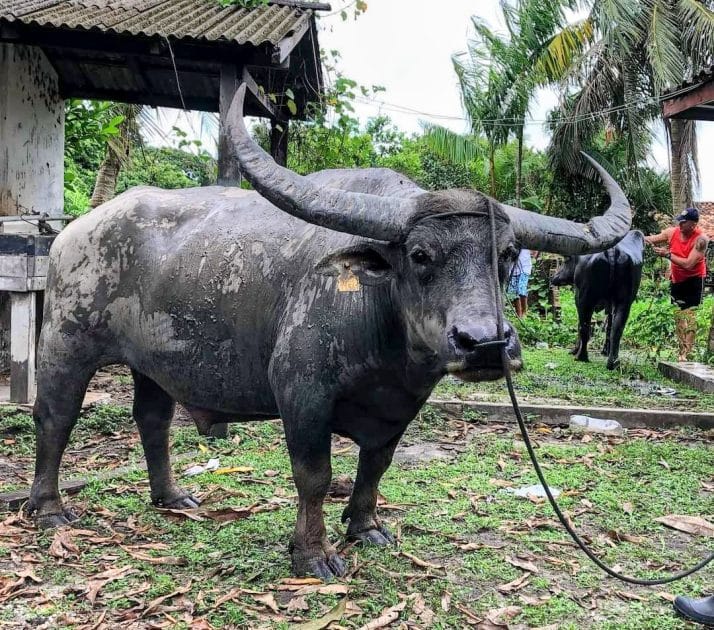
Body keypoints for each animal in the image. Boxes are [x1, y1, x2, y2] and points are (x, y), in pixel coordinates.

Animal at [28, 84, 631, 578]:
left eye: (505, 256)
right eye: (419, 254)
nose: (484, 343)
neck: (384, 334)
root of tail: (72, 233)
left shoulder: (401, 407)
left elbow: (376, 467)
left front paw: (364, 528)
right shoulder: (302, 394)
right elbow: (314, 475)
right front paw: (312, 553)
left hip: (150, 365)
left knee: (153, 420)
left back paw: (172, 496)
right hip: (64, 345)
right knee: (56, 418)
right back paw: (50, 508)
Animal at [551, 230, 644, 370]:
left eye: (565, 261)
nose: (553, 278)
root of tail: (613, 249)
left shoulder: (579, 297)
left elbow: (580, 325)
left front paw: (574, 350)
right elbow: (609, 326)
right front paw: (605, 351)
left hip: (585, 299)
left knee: (585, 327)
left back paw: (581, 356)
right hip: (624, 301)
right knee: (617, 329)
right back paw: (613, 362)